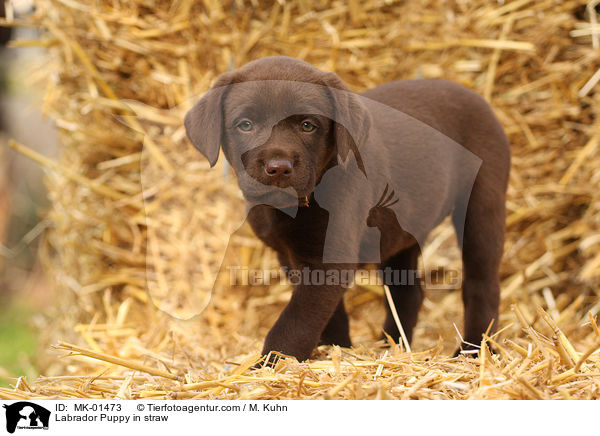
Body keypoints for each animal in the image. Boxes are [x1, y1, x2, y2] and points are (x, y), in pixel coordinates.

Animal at [184, 55, 510, 362]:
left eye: (307, 126)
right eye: (246, 125)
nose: (278, 168)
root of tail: (478, 97)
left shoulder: (331, 259)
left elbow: (295, 322)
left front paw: (269, 366)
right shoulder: (291, 256)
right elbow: (329, 313)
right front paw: (336, 349)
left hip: (482, 207)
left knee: (482, 284)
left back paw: (474, 352)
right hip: (400, 229)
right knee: (408, 292)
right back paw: (391, 348)